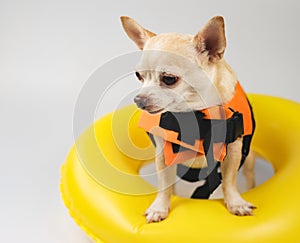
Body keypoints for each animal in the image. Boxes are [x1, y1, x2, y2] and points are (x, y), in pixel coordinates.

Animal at [119, 16, 255, 223]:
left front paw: (235, 202)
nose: (139, 100)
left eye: (169, 79)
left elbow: (229, 181)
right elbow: (164, 184)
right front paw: (160, 207)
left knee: (248, 176)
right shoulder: (163, 155)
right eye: (139, 76)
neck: (194, 113)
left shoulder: (233, 150)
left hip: (249, 159)